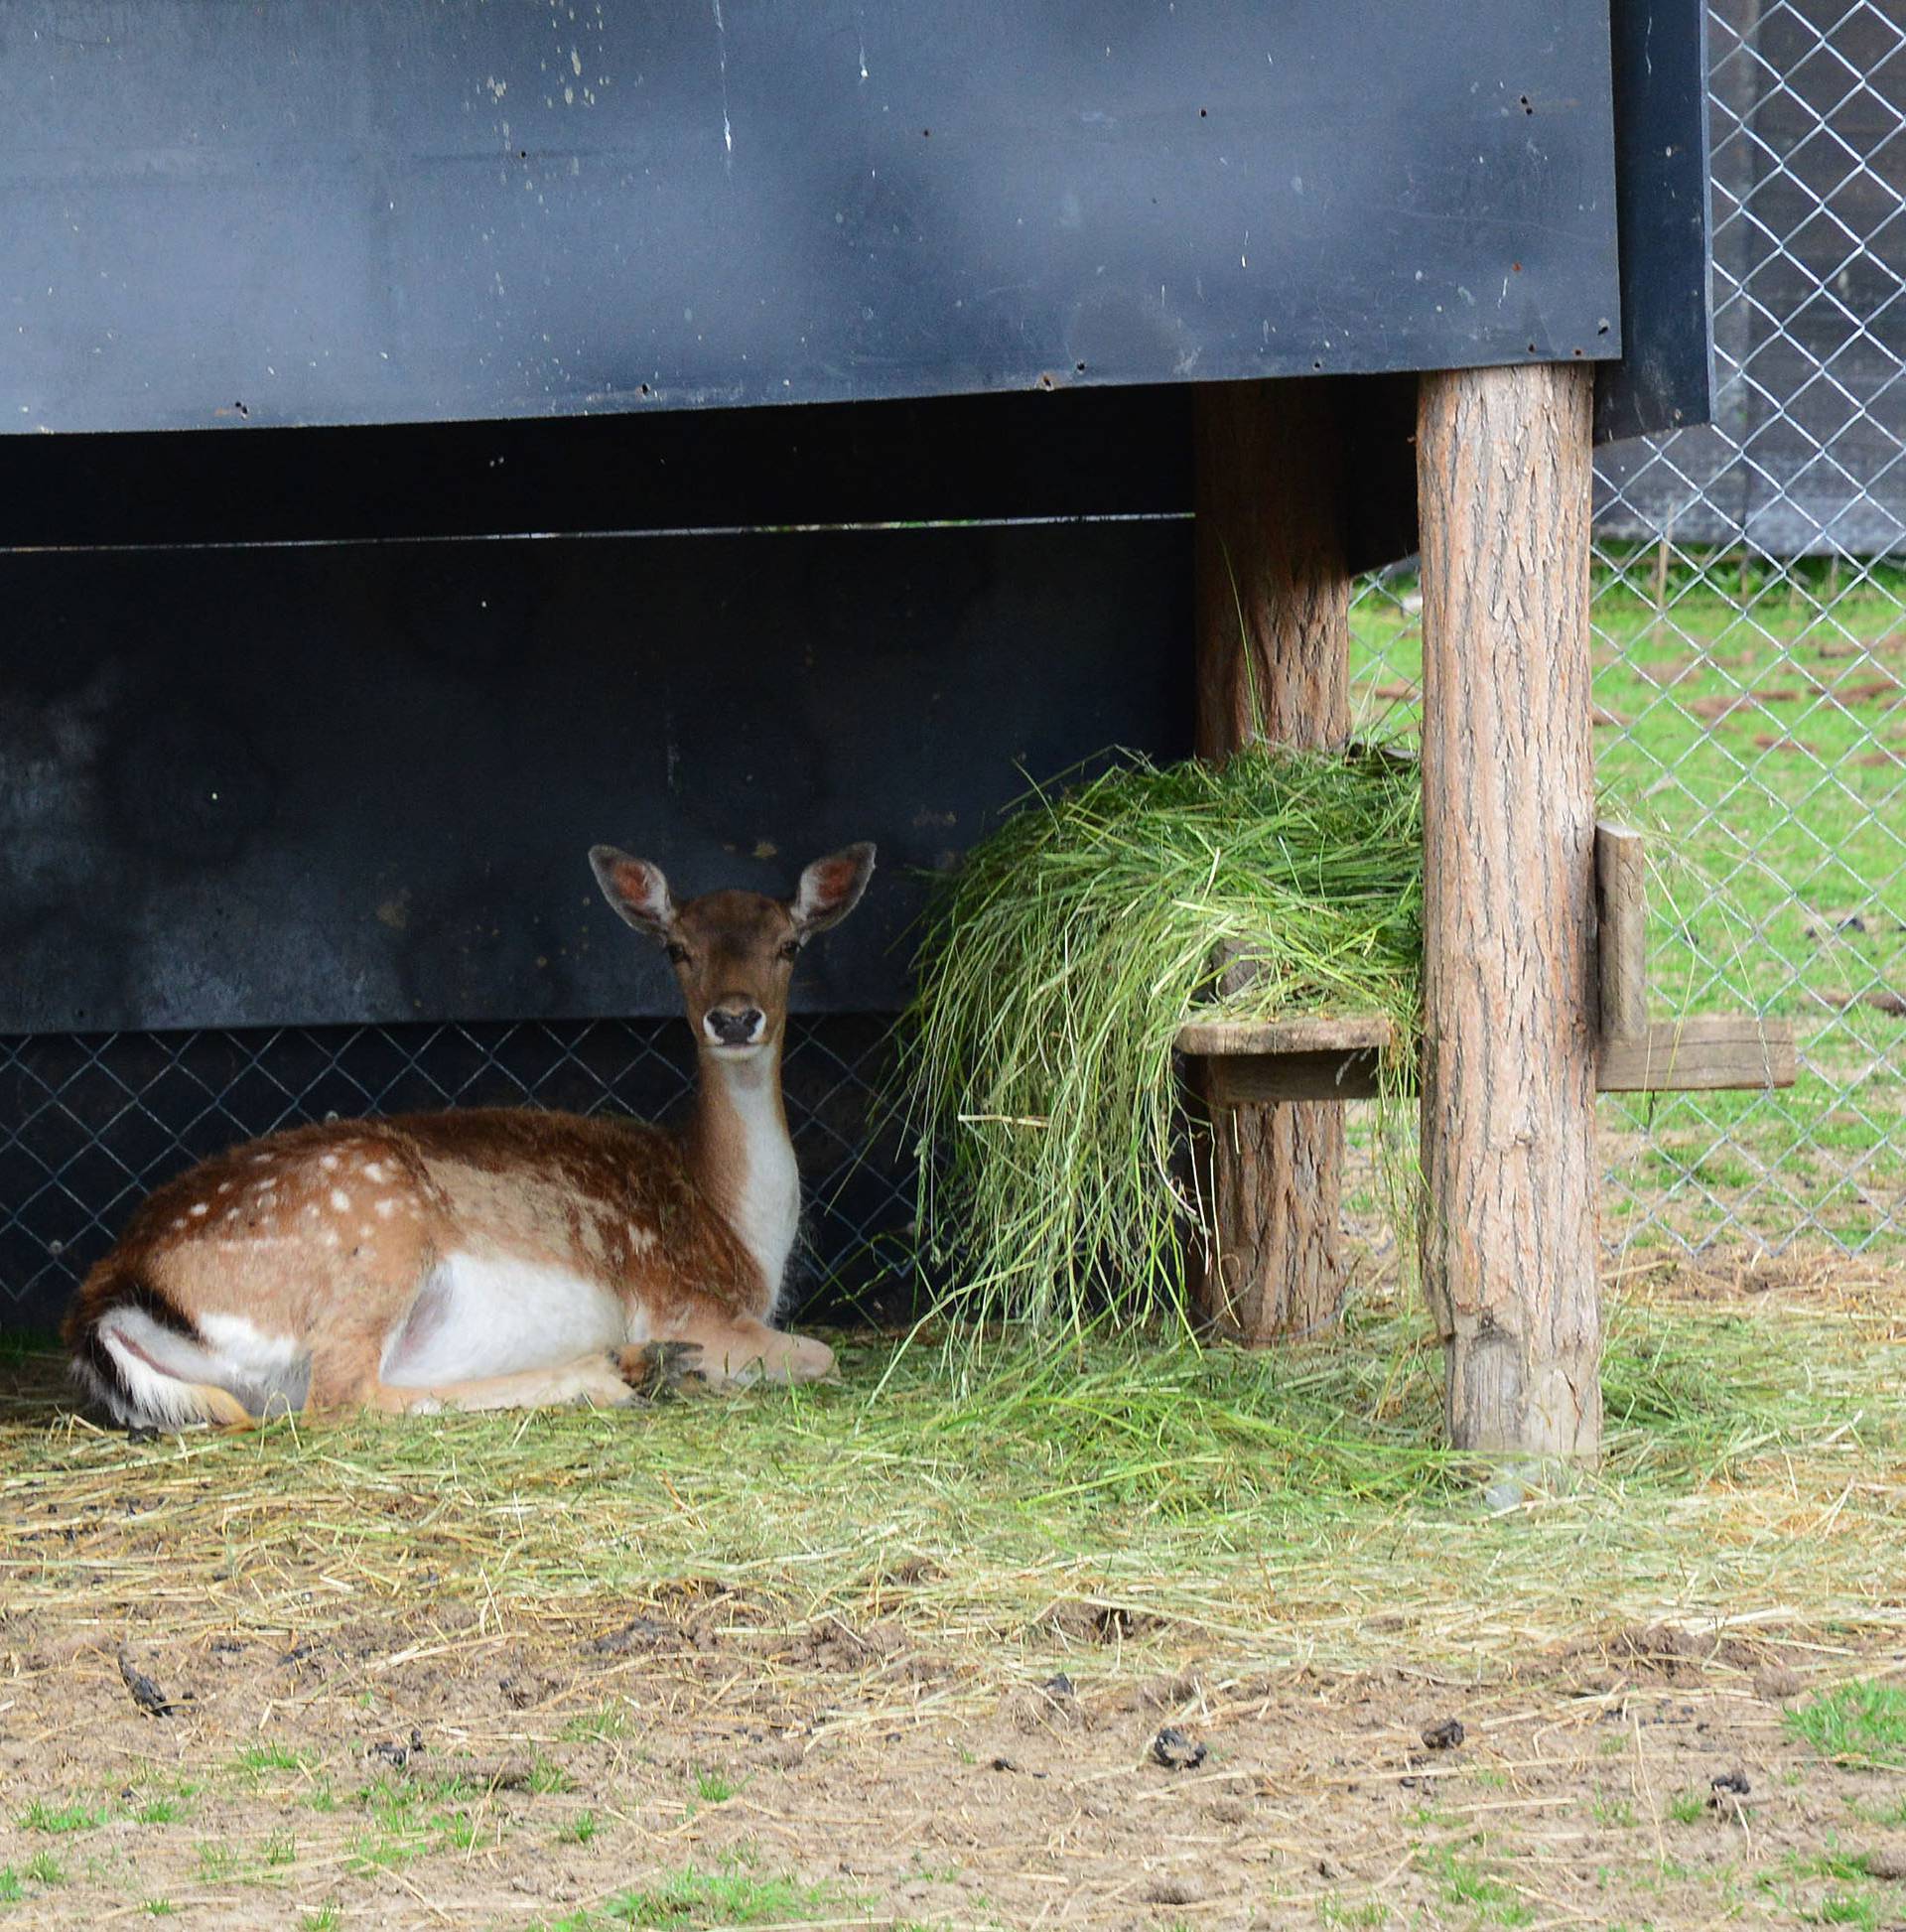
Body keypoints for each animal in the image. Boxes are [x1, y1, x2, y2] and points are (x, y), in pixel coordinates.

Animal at [67, 838, 881, 1430]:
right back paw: (616, 1372)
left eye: (790, 945)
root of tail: (111, 1298)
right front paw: (693, 1366)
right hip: (376, 1233)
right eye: (676, 948)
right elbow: (822, 1354)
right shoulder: (684, 1300)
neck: (740, 1232)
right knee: (347, 1399)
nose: (736, 1018)